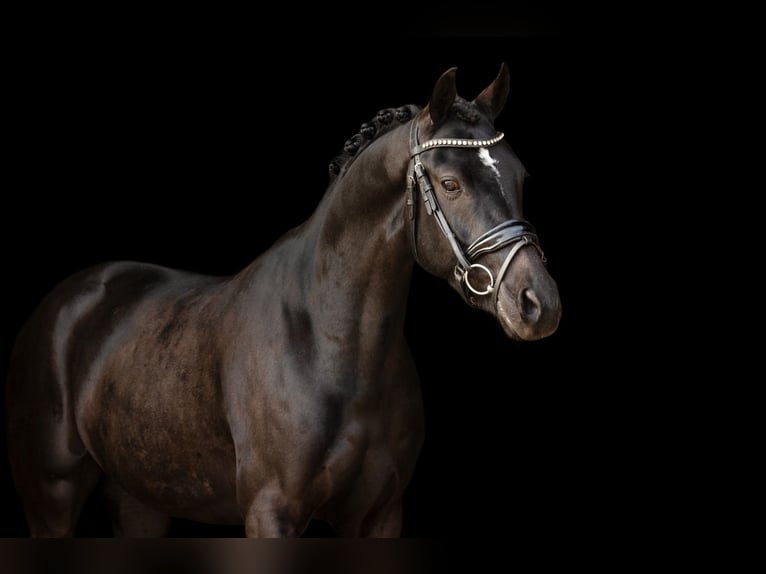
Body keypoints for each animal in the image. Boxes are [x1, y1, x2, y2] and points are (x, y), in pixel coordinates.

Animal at [5, 63, 561, 537]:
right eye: (450, 183)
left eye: (521, 176)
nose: (538, 304)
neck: (330, 342)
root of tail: (68, 300)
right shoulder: (271, 511)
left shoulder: (379, 514)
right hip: (52, 497)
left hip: (141, 500)